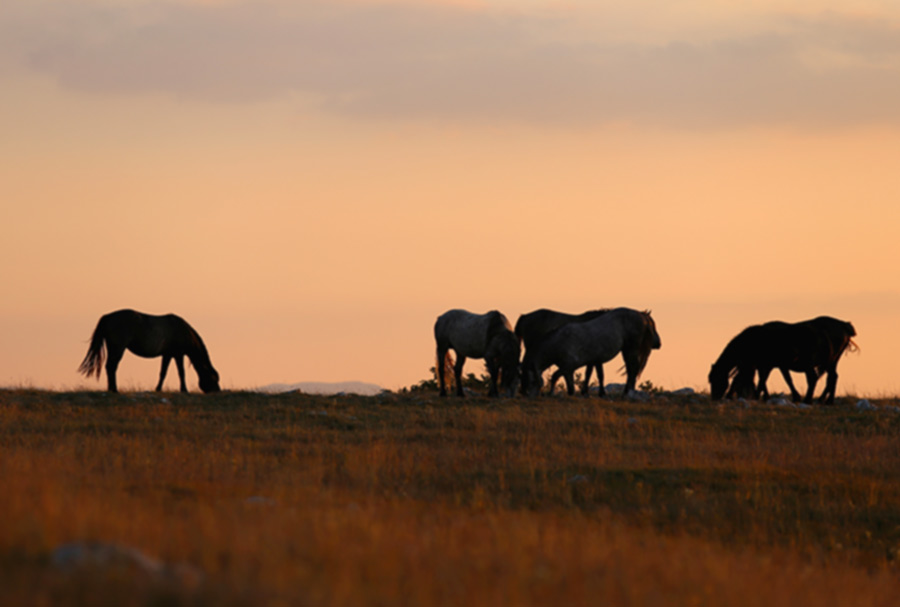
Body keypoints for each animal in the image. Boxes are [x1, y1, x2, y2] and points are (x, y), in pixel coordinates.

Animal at [78, 309, 221, 393]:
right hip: (118, 348)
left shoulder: (167, 355)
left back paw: (111, 389)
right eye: (214, 378)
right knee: (111, 366)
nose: (217, 391)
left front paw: (158, 389)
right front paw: (184, 390)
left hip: (112, 348)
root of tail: (108, 317)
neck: (182, 331)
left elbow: (163, 373)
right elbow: (181, 372)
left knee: (110, 367)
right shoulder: (178, 354)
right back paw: (114, 389)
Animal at [520, 308, 661, 397]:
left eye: (533, 382)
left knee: (632, 369)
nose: (659, 343)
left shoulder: (578, 364)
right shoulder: (583, 363)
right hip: (628, 350)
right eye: (654, 326)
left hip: (630, 350)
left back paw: (628, 391)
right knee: (632, 369)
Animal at [708, 317, 855, 404]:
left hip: (814, 364)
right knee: (832, 377)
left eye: (716, 379)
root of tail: (845, 326)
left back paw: (811, 400)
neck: (753, 341)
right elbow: (768, 380)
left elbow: (764, 380)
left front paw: (758, 395)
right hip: (831, 362)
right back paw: (825, 400)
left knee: (815, 378)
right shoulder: (769, 365)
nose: (714, 398)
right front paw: (763, 396)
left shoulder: (766, 365)